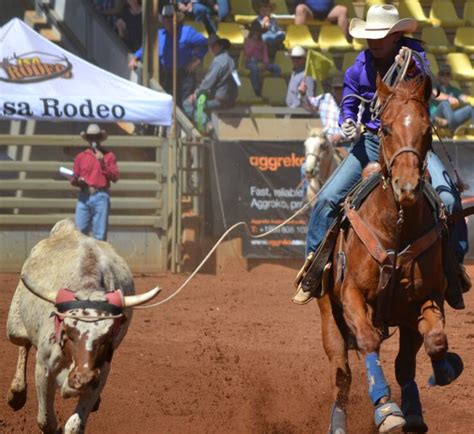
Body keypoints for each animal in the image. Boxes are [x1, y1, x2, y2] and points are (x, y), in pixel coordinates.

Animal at [322, 76, 462, 432]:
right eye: (384, 129)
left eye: (427, 131)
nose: (407, 186)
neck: (396, 230)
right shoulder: (352, 295)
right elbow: (368, 341)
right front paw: (386, 410)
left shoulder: (427, 298)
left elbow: (433, 342)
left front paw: (443, 372)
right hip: (329, 313)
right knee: (342, 372)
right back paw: (339, 421)